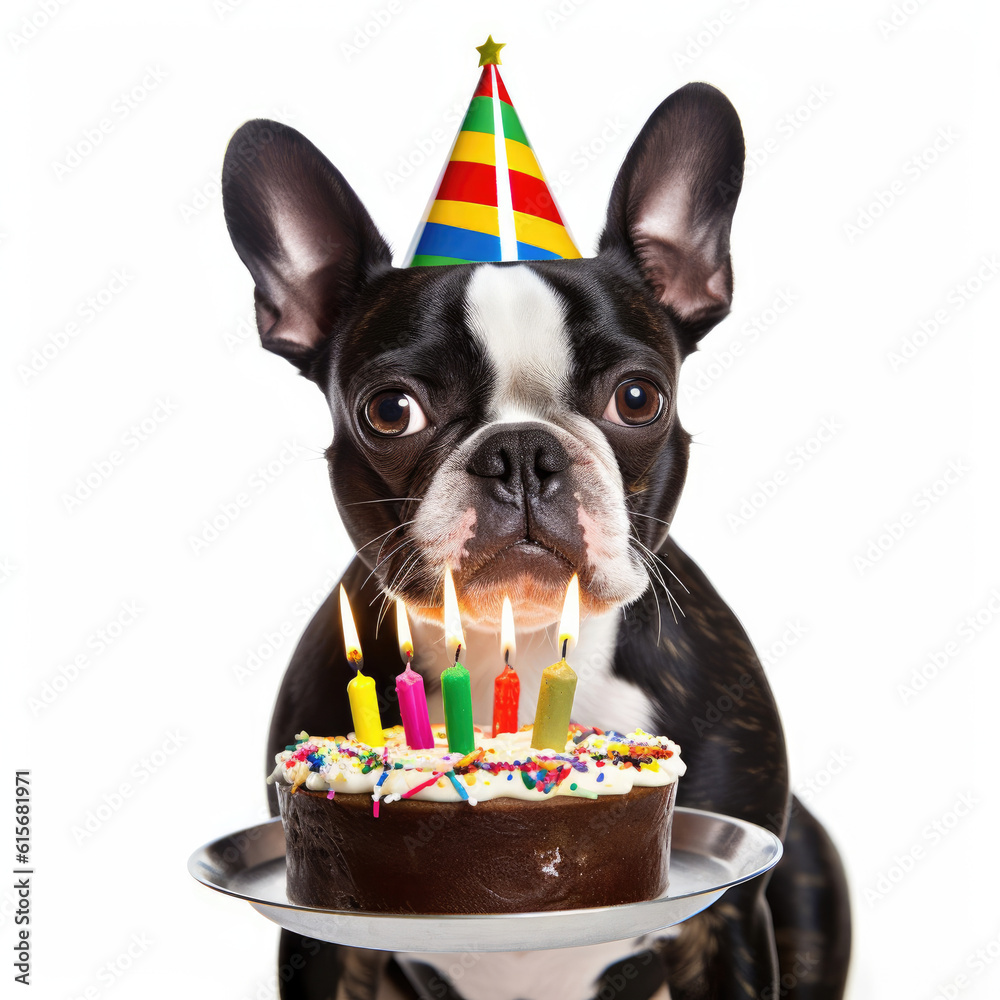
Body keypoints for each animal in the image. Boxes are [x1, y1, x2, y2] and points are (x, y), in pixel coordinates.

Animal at [221, 84, 852, 1000]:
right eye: (390, 409)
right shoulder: (323, 945)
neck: (507, 639)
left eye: (638, 397)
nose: (521, 450)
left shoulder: (728, 918)